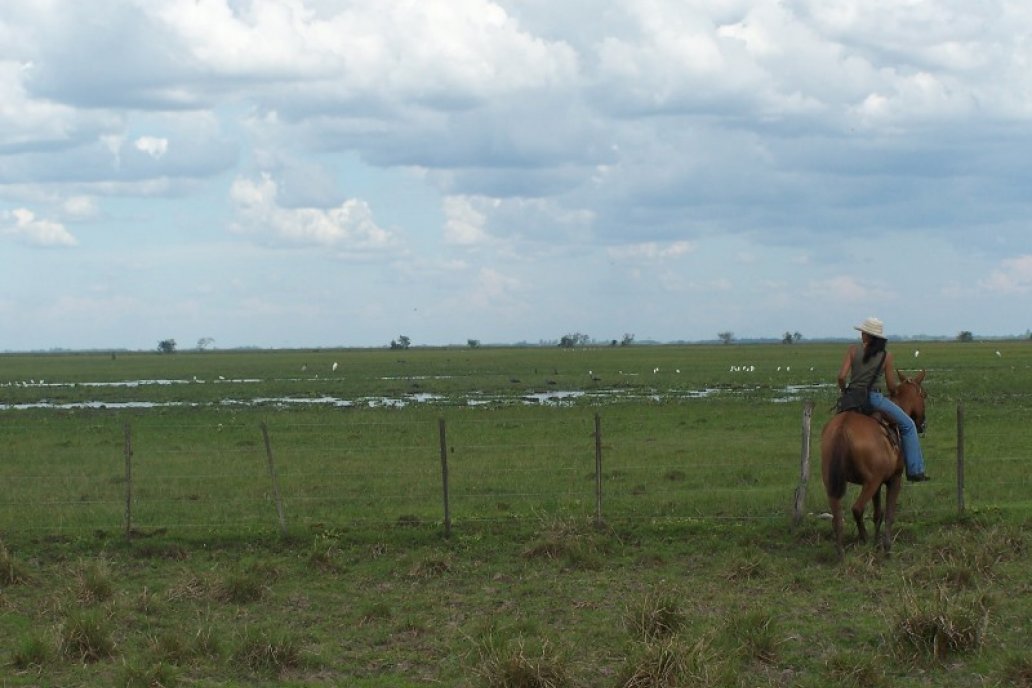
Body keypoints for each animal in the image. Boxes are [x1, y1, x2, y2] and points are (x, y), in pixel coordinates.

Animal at [821, 369, 928, 557]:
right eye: (924, 395)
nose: (922, 423)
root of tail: (843, 427)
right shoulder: (893, 479)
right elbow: (889, 513)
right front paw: (886, 545)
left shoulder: (878, 484)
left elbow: (878, 513)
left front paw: (877, 541)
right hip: (870, 482)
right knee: (857, 508)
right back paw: (863, 538)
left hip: (833, 482)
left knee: (837, 516)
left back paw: (841, 551)